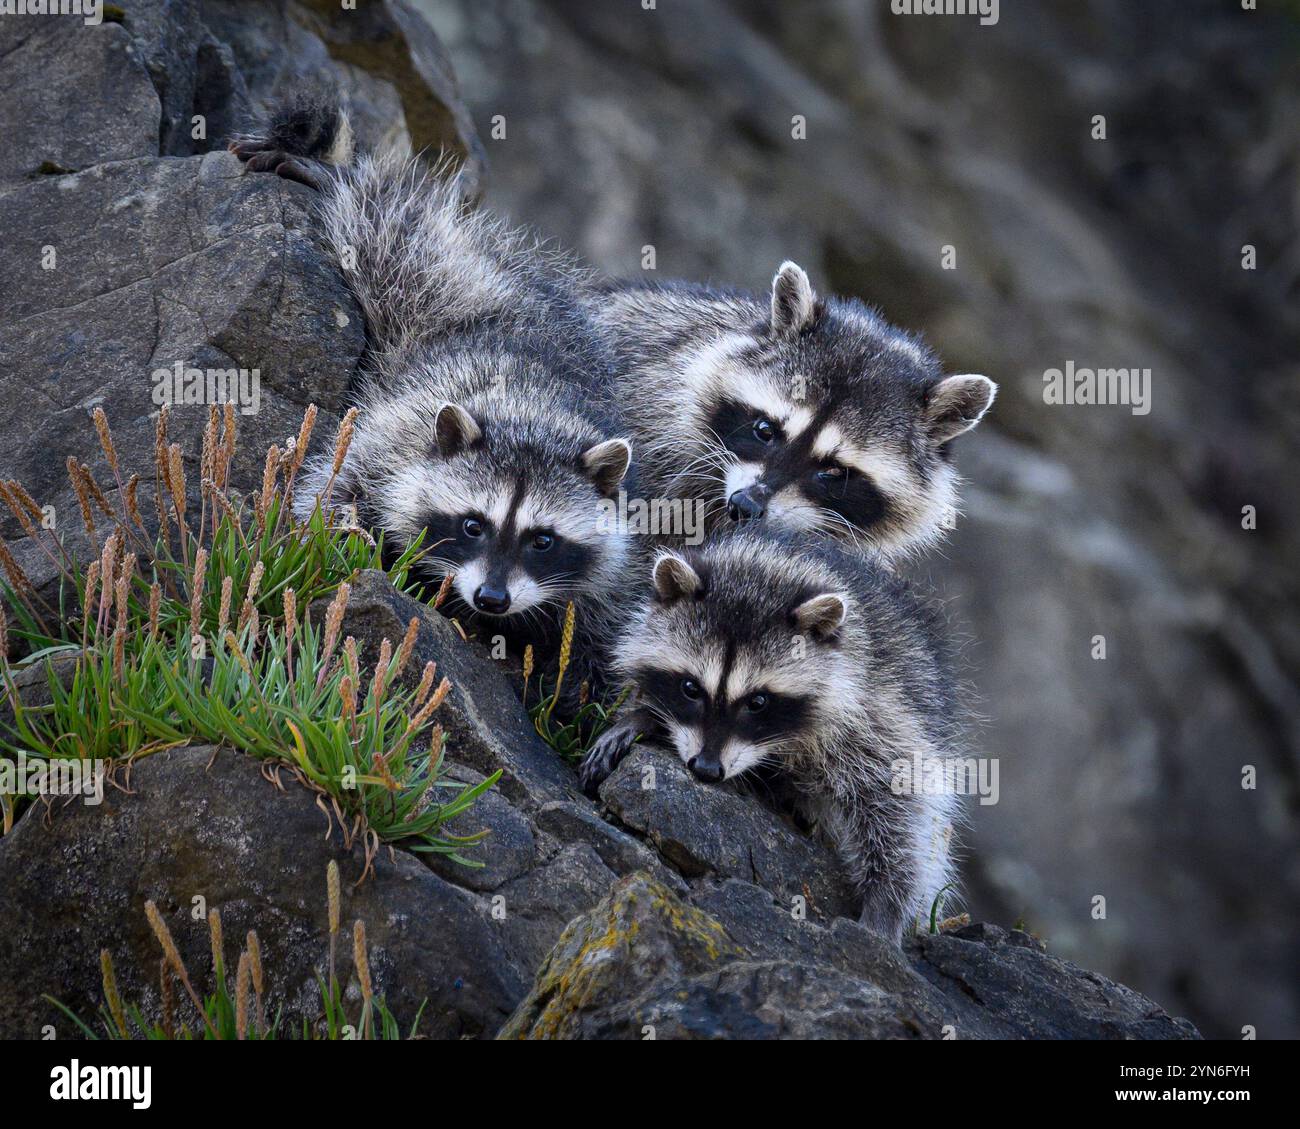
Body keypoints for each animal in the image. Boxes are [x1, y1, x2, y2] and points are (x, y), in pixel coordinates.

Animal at [233, 94, 639, 686]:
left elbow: (602, 616)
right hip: (429, 284)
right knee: (393, 234)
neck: (531, 415)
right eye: (473, 524)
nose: (492, 599)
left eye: (543, 540)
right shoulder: (398, 432)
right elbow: (336, 494)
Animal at [579, 525, 967, 941]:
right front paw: (644, 716)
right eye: (690, 688)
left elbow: (897, 798)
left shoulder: (878, 706)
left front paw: (887, 900)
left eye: (759, 701)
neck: (767, 567)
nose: (706, 769)